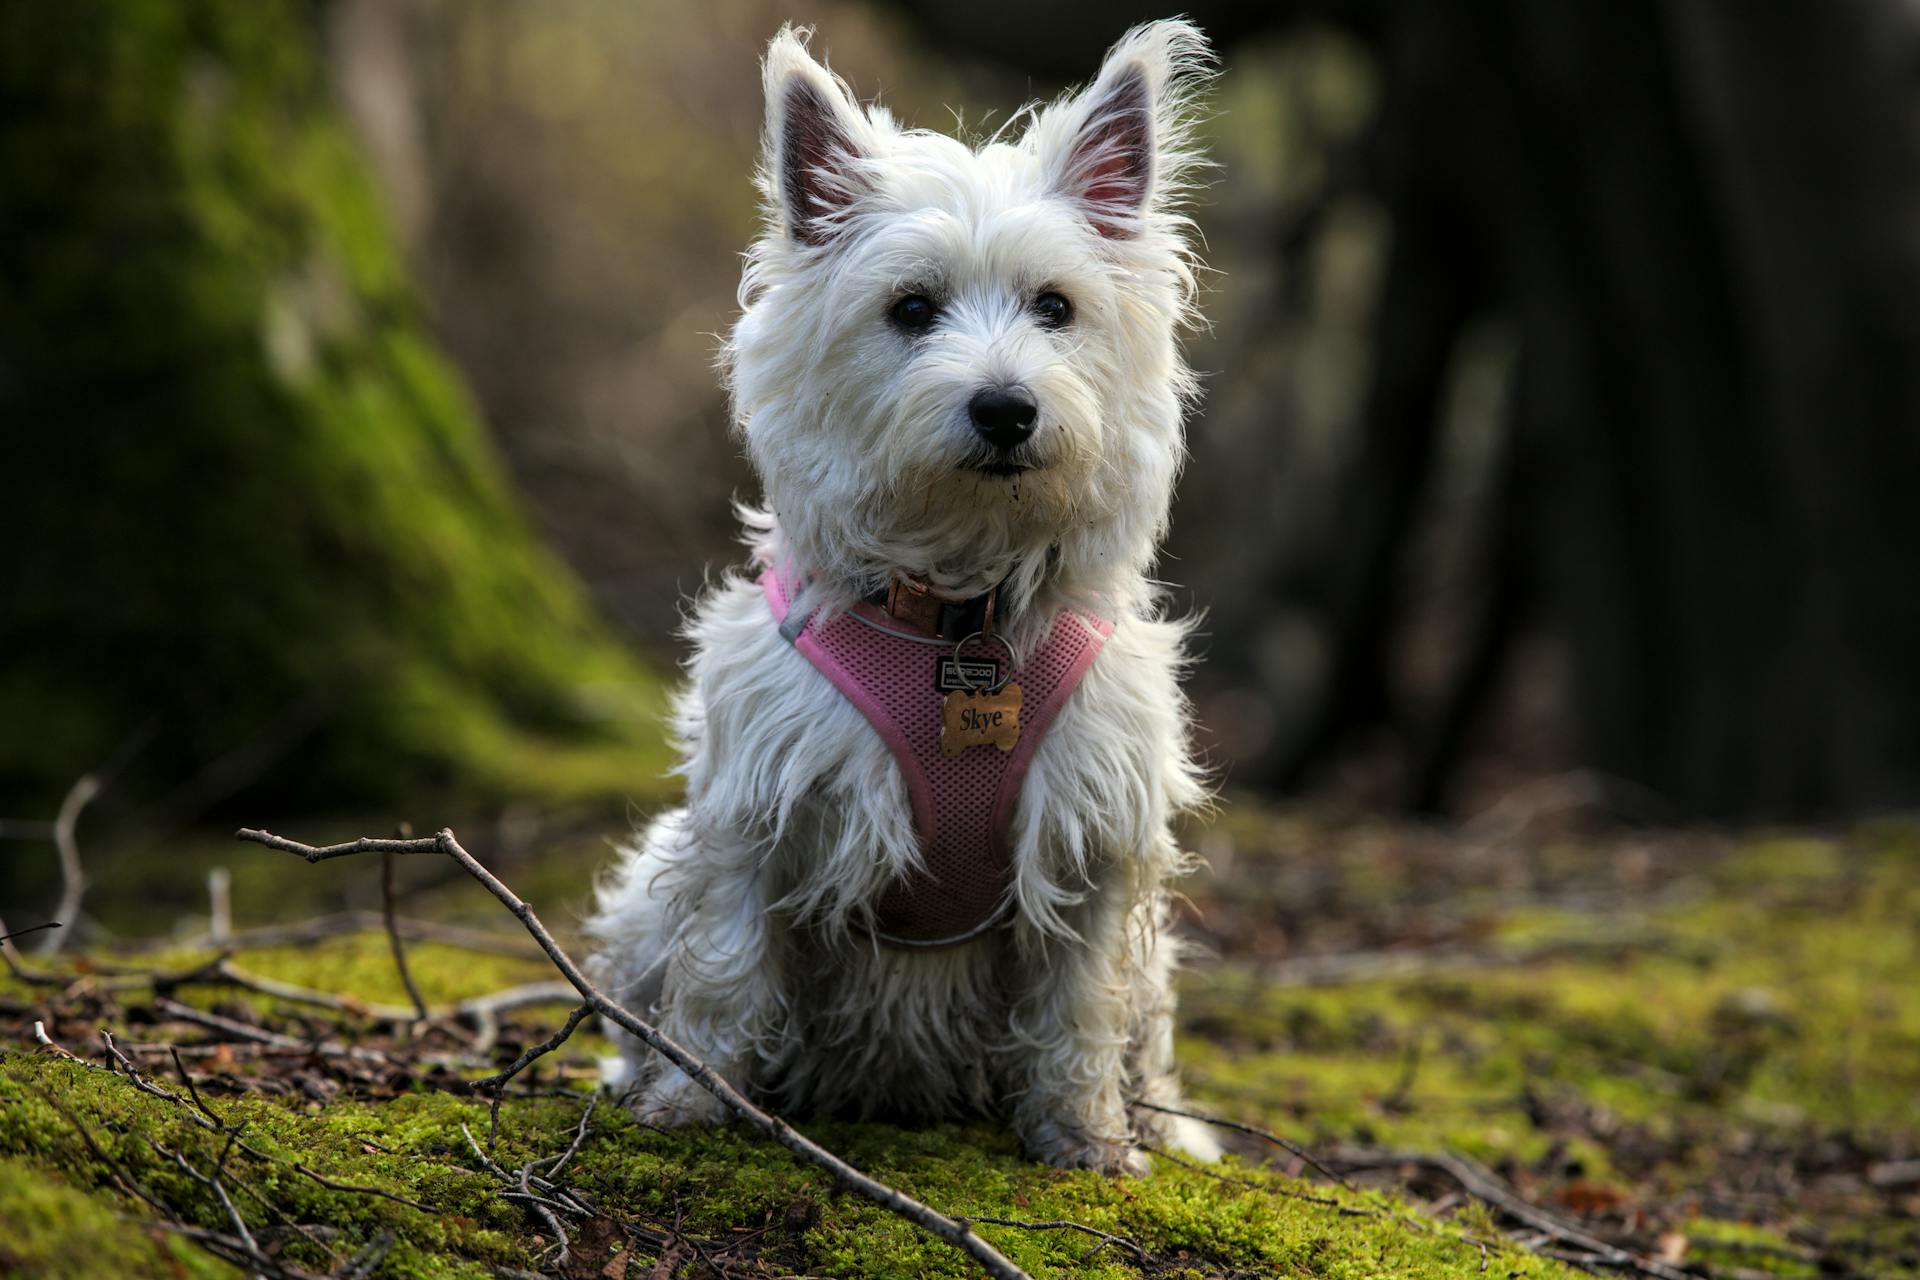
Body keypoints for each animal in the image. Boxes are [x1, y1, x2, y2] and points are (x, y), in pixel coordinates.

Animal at [583, 17, 1213, 1182]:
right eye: (910, 309)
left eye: (1056, 306)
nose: (1006, 408)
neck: (960, 619)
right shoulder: (758, 811)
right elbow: (725, 967)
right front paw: (686, 1108)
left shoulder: (1093, 835)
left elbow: (1080, 1008)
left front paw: (1088, 1142)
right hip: (652, 877)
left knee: (1144, 1033)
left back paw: (1166, 1126)